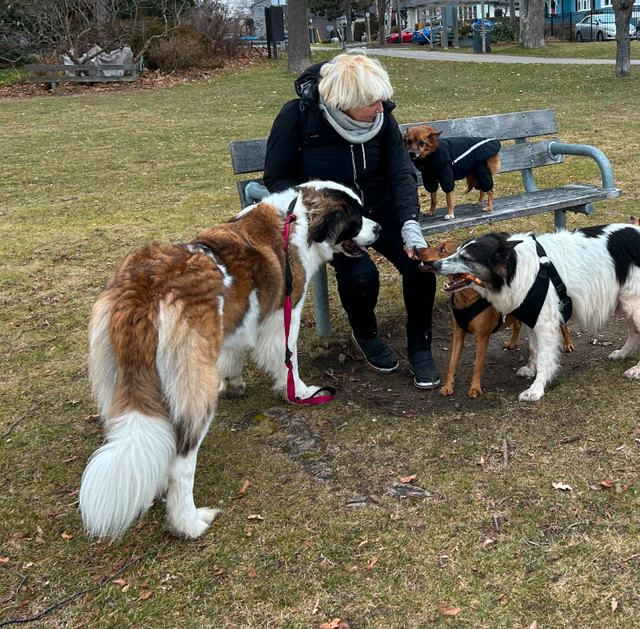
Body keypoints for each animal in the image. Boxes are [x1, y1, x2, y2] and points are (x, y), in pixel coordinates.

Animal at [80, 179, 380, 536]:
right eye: (356, 218)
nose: (379, 228)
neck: (299, 218)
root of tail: (145, 288)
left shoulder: (237, 318)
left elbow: (234, 352)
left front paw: (234, 384)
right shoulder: (285, 311)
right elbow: (287, 357)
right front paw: (300, 391)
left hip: (120, 385)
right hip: (195, 388)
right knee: (181, 463)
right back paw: (189, 523)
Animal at [430, 226, 640, 400]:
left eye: (466, 258)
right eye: (457, 251)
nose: (435, 266)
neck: (516, 268)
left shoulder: (546, 324)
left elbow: (546, 358)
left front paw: (536, 389)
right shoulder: (532, 316)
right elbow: (533, 349)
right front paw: (532, 368)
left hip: (633, 304)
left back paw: (636, 370)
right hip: (626, 303)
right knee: (634, 333)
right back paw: (622, 354)